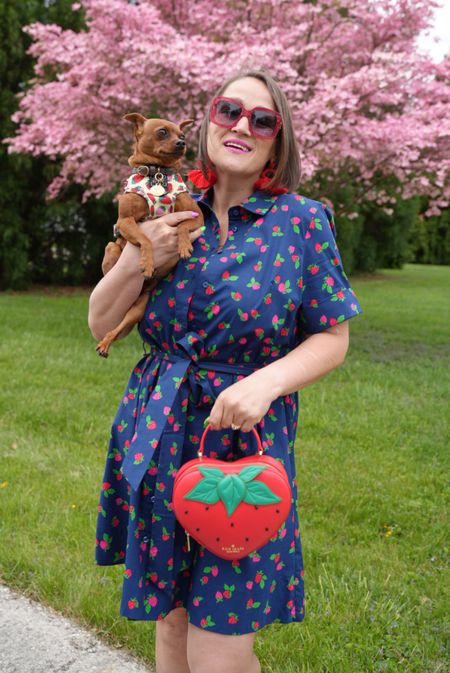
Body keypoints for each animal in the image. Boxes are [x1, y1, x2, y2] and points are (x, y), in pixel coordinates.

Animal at [95, 114, 204, 356]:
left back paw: (106, 343)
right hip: (111, 247)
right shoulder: (124, 221)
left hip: (138, 308)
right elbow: (145, 239)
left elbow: (183, 226)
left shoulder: (197, 215)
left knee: (119, 326)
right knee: (111, 263)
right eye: (162, 132)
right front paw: (146, 262)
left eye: (183, 135)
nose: (182, 143)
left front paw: (184, 246)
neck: (158, 172)